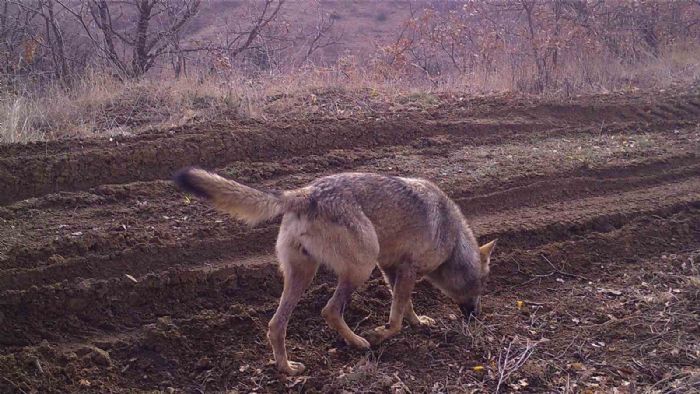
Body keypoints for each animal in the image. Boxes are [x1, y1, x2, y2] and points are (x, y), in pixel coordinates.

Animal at [172, 167, 494, 376]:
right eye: (481, 285)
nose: (476, 316)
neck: (453, 239)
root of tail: (304, 193)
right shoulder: (404, 270)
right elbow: (396, 319)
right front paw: (381, 334)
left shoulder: (393, 269)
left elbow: (405, 307)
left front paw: (419, 322)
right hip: (360, 268)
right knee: (329, 310)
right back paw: (359, 342)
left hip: (304, 276)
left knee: (276, 325)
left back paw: (287, 369)